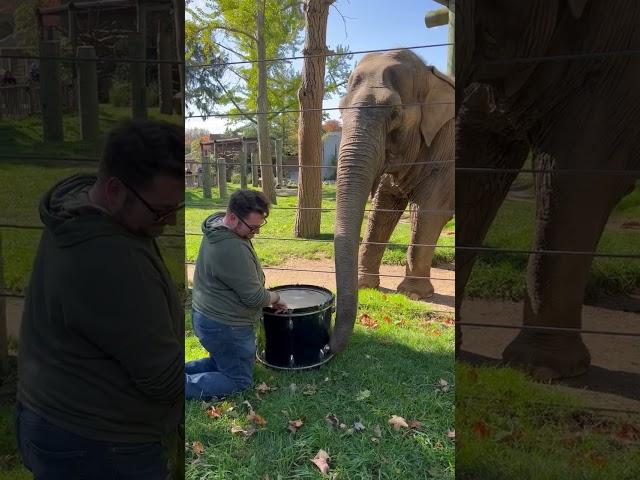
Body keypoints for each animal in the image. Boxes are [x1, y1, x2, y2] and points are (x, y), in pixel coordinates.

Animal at [330, 50, 456, 354]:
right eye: (340, 109)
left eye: (395, 114)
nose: (327, 347)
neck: (431, 76)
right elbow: (383, 208)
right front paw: (366, 285)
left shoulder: (447, 151)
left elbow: (428, 211)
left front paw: (413, 294)